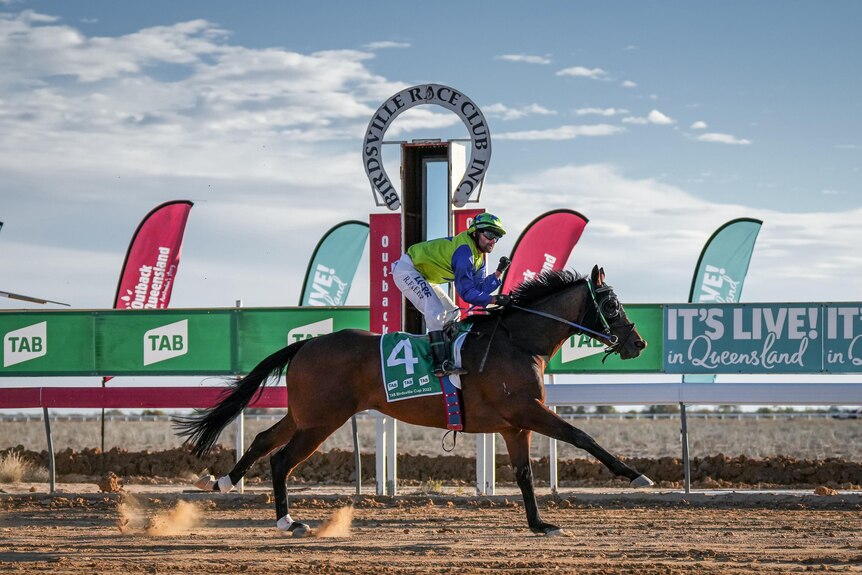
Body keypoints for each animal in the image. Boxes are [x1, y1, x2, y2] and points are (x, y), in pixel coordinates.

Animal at [179, 268, 660, 536]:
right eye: (612, 304)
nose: (638, 342)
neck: (518, 341)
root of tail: (306, 344)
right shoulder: (527, 411)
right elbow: (581, 436)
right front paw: (636, 475)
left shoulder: (514, 425)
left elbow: (524, 474)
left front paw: (539, 524)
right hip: (321, 420)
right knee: (281, 459)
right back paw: (286, 521)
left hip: (305, 414)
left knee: (263, 439)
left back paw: (224, 482)